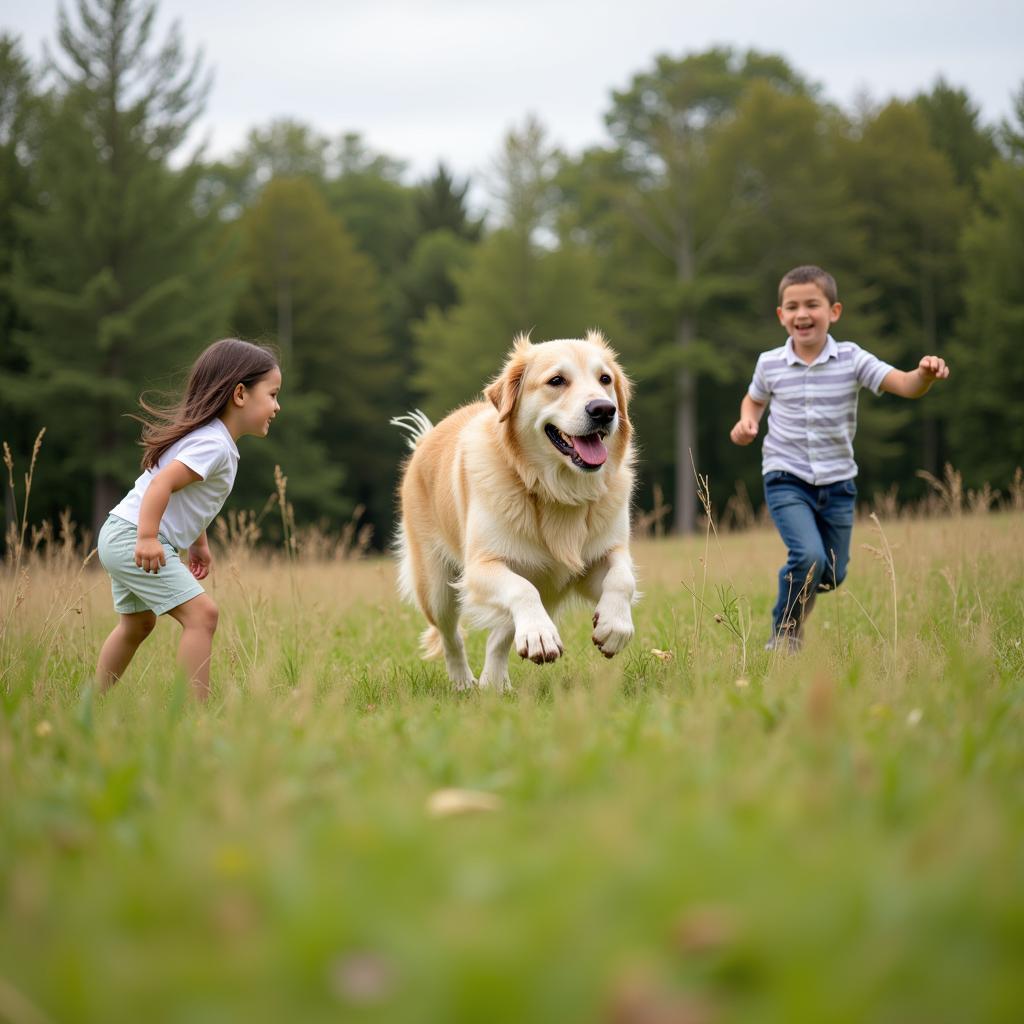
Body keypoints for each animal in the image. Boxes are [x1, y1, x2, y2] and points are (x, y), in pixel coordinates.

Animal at [389, 331, 634, 692]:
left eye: (605, 379)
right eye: (556, 381)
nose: (604, 410)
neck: (556, 489)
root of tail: (424, 440)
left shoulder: (599, 557)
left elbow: (622, 576)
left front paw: (614, 627)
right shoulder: (480, 567)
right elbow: (522, 589)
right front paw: (541, 636)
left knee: (499, 635)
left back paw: (494, 682)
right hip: (436, 589)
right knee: (451, 636)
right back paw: (464, 682)